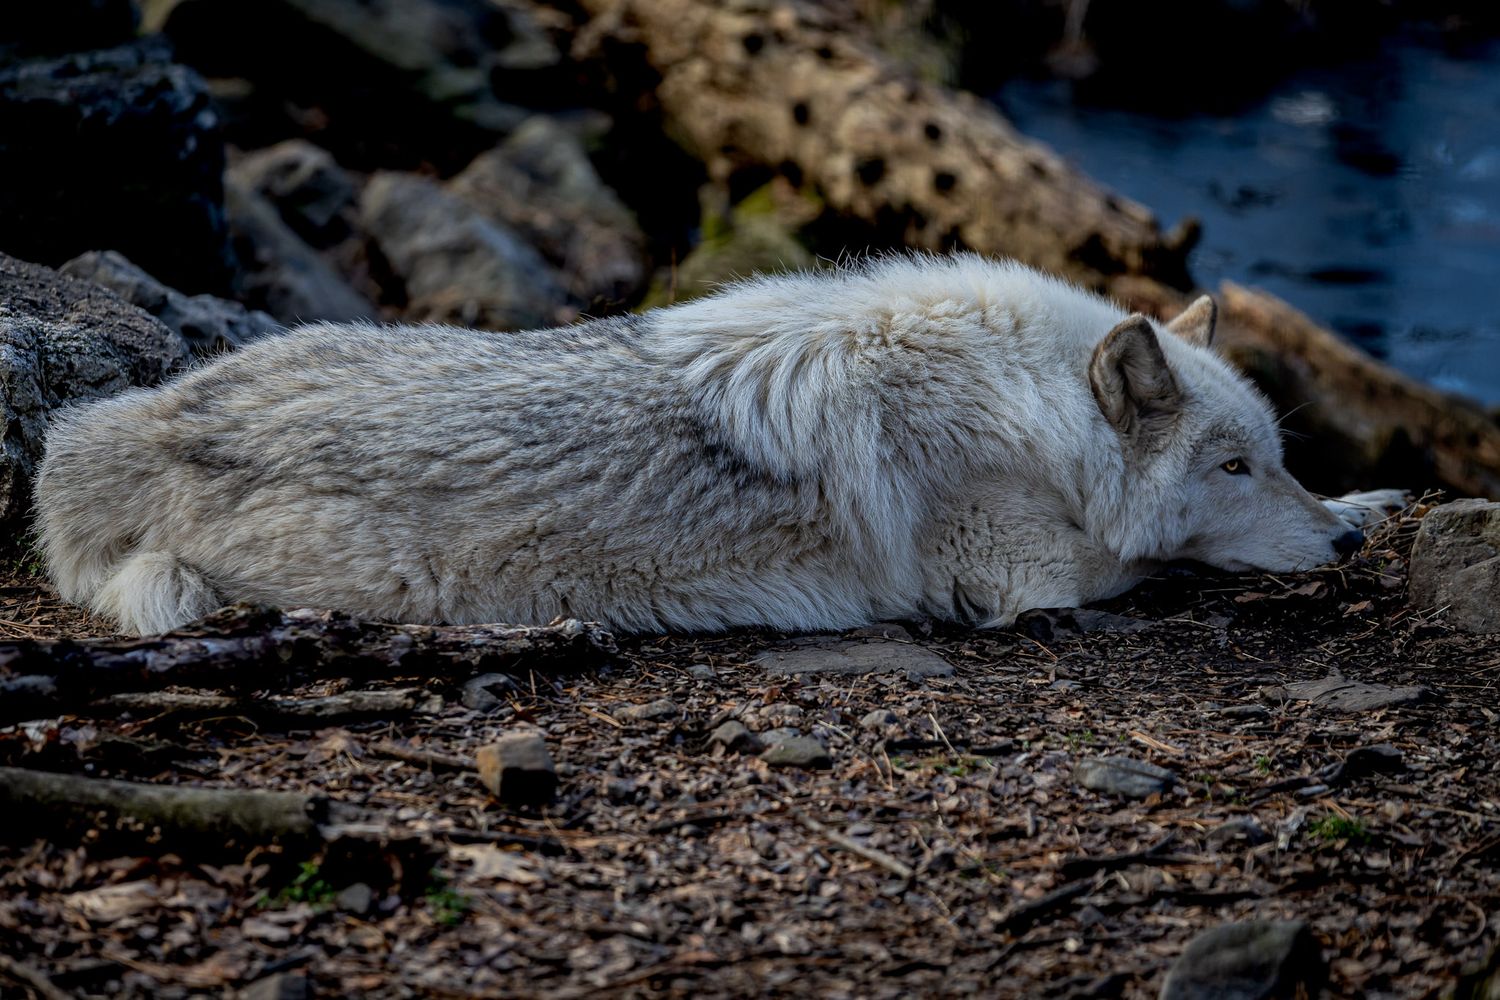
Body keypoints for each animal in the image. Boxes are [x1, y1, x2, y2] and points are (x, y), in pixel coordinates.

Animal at [35, 254, 1402, 636]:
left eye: (1273, 455)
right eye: (1232, 468)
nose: (1336, 547)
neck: (1029, 413)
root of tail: (125, 426)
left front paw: (1368, 503)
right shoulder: (1023, 575)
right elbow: (1154, 559)